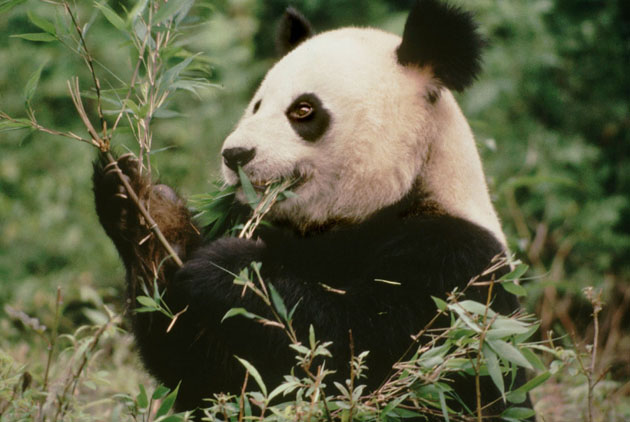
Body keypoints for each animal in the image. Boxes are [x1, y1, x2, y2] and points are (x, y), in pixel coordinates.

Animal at [94, 0, 528, 418]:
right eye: (257, 105)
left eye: (303, 110)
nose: (235, 154)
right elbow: (210, 373)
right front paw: (145, 208)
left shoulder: (453, 265)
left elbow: (358, 355)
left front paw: (231, 268)